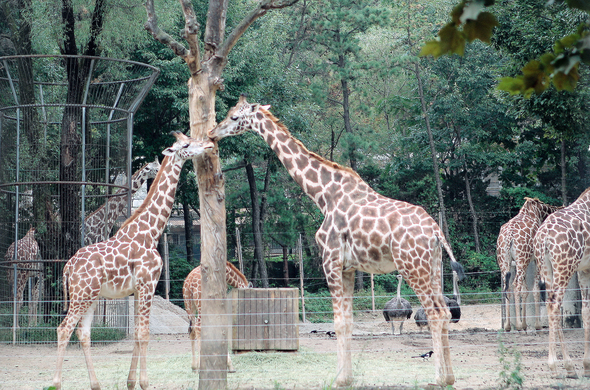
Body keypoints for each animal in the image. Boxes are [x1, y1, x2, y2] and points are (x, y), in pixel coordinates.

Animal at [52, 132, 215, 390]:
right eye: (187, 144)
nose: (208, 145)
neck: (151, 232)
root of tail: (68, 267)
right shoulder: (148, 283)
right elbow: (144, 334)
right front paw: (145, 382)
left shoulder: (138, 289)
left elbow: (138, 333)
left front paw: (130, 381)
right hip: (82, 295)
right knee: (64, 329)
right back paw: (56, 383)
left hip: (91, 297)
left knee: (83, 333)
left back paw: (96, 384)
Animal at [210, 96, 464, 388]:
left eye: (234, 117)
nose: (212, 133)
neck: (323, 195)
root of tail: (435, 230)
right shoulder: (349, 268)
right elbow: (349, 322)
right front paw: (348, 376)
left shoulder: (329, 260)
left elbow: (339, 322)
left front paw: (339, 379)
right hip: (432, 267)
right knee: (445, 312)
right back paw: (449, 376)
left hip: (412, 266)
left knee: (434, 313)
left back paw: (438, 379)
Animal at [498, 198, 560, 332]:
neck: (537, 212)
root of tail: (509, 236)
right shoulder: (536, 259)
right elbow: (535, 289)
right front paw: (537, 325)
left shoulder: (522, 262)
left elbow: (525, 290)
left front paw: (525, 324)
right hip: (521, 260)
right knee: (516, 285)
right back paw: (518, 325)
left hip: (504, 261)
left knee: (507, 287)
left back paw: (508, 326)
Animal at [536, 187, 590, 380]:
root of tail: (543, 237)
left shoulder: (584, 269)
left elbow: (585, 311)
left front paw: (586, 366)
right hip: (564, 268)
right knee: (554, 305)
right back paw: (555, 366)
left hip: (546, 269)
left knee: (552, 305)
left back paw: (570, 367)